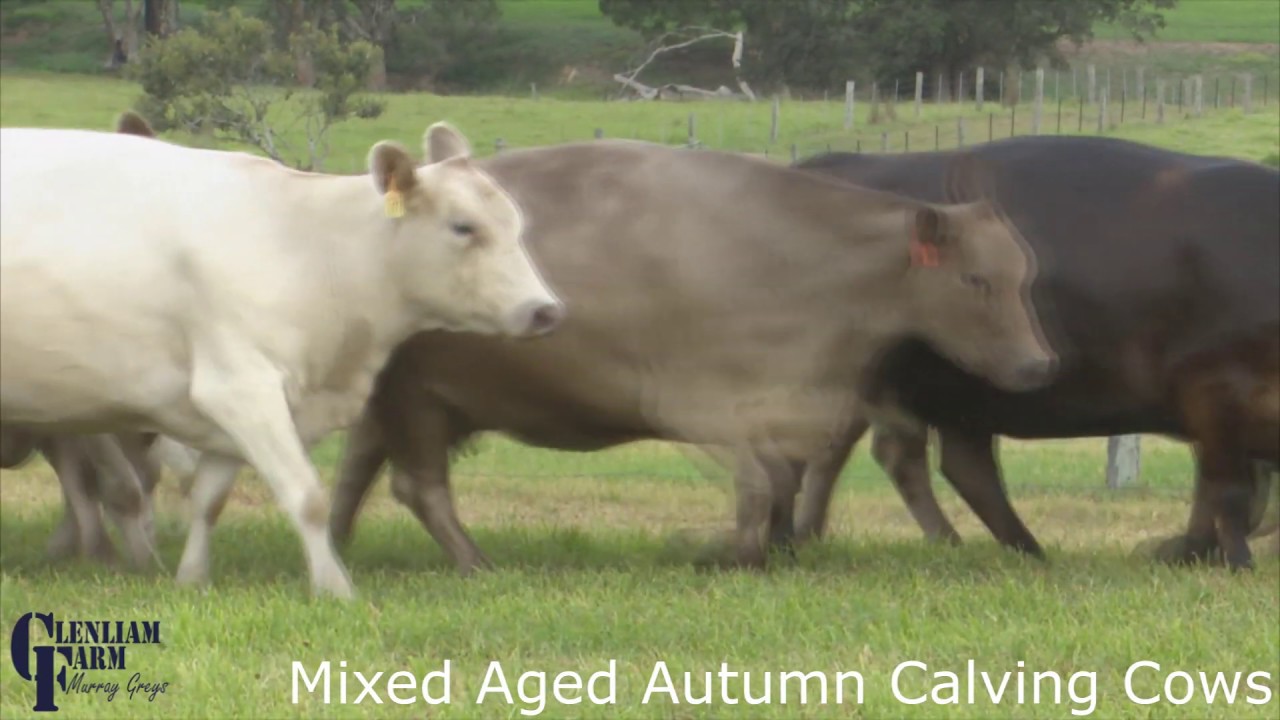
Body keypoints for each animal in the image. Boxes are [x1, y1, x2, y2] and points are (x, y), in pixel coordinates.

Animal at [0, 122, 564, 599]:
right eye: (463, 227)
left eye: (515, 223)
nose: (545, 310)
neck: (308, 247)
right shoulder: (241, 387)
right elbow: (307, 497)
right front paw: (335, 589)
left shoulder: (230, 411)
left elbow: (208, 500)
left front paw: (192, 579)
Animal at [324, 139, 1057, 574]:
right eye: (975, 280)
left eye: (1024, 277)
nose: (1038, 365)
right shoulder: (707, 405)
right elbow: (762, 482)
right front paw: (730, 554)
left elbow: (780, 484)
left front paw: (758, 552)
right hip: (417, 403)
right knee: (418, 487)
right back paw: (474, 563)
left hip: (400, 401)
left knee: (354, 475)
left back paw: (334, 546)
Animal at [782, 135, 1280, 571]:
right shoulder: (1214, 389)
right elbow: (1231, 490)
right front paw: (1229, 559)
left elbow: (1227, 491)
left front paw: (1185, 551)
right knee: (901, 458)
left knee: (912, 458)